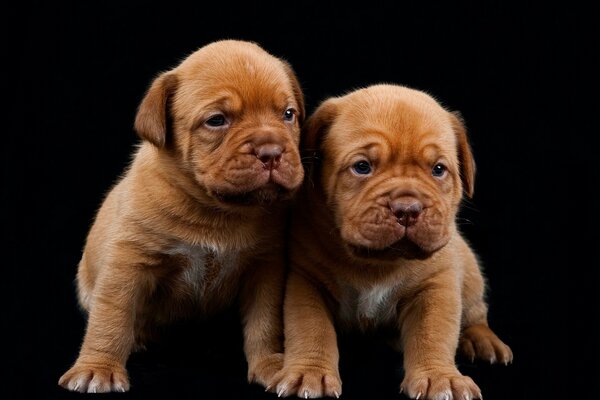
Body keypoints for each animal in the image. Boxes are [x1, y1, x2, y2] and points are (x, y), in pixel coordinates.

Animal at [57, 40, 304, 394]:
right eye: (217, 120)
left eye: (288, 114)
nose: (271, 152)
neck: (216, 210)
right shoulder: (128, 263)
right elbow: (111, 319)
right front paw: (97, 368)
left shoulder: (265, 269)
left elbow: (265, 322)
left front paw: (270, 364)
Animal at [274, 85, 512, 400]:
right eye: (362, 167)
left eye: (438, 170)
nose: (408, 209)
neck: (377, 262)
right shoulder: (307, 281)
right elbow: (311, 327)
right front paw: (309, 372)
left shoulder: (435, 286)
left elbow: (433, 333)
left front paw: (440, 377)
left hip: (471, 273)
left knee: (476, 312)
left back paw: (481, 340)